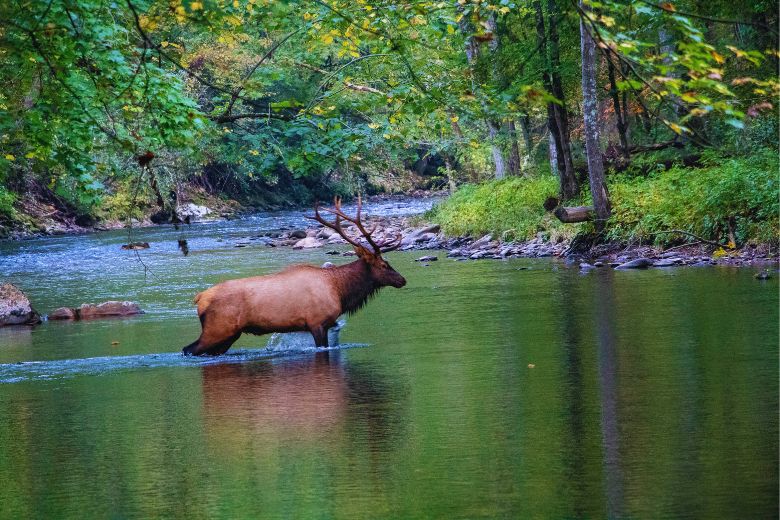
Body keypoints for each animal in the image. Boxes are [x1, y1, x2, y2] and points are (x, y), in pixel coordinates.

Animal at [182, 197, 406, 356]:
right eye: (384, 265)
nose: (402, 280)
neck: (340, 290)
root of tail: (199, 298)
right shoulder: (317, 323)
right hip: (217, 329)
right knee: (187, 350)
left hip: (229, 334)